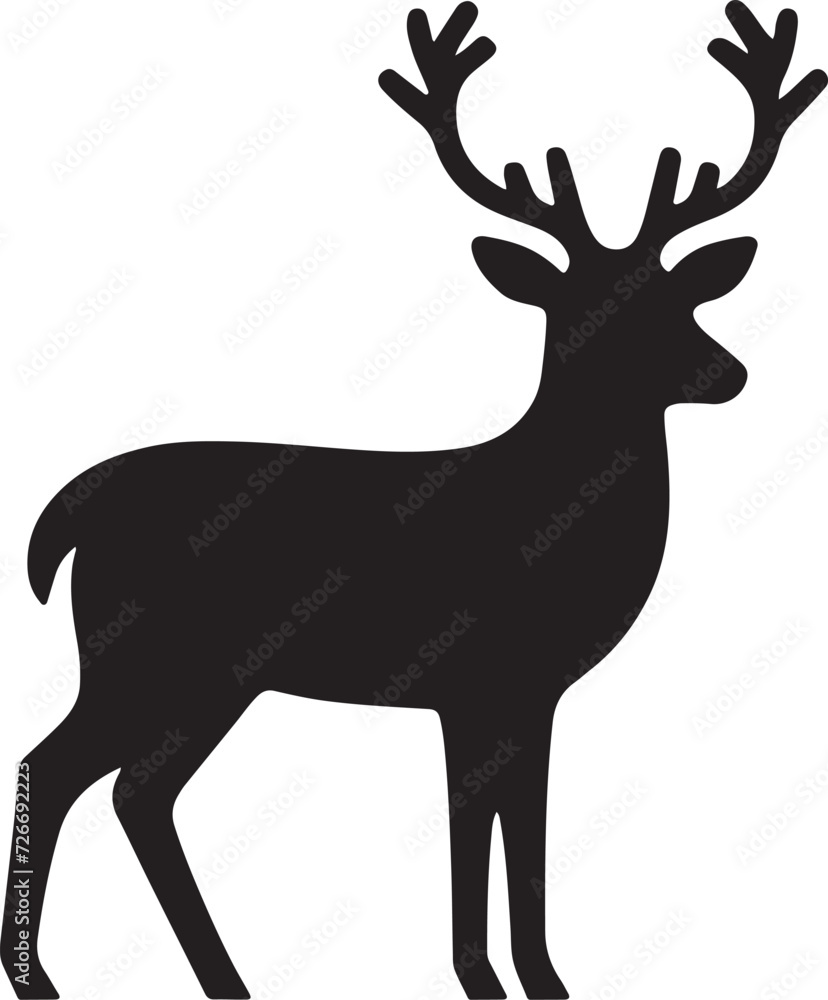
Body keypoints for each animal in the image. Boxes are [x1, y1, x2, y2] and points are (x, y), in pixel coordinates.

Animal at [2, 3, 824, 998]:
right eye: (589, 309)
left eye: (679, 297)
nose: (729, 373)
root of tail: (64, 518)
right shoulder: (472, 683)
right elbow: (479, 840)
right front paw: (487, 979)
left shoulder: (529, 696)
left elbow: (522, 843)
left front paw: (540, 982)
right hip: (150, 654)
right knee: (62, 764)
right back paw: (45, 977)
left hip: (203, 677)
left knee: (134, 788)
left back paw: (216, 978)